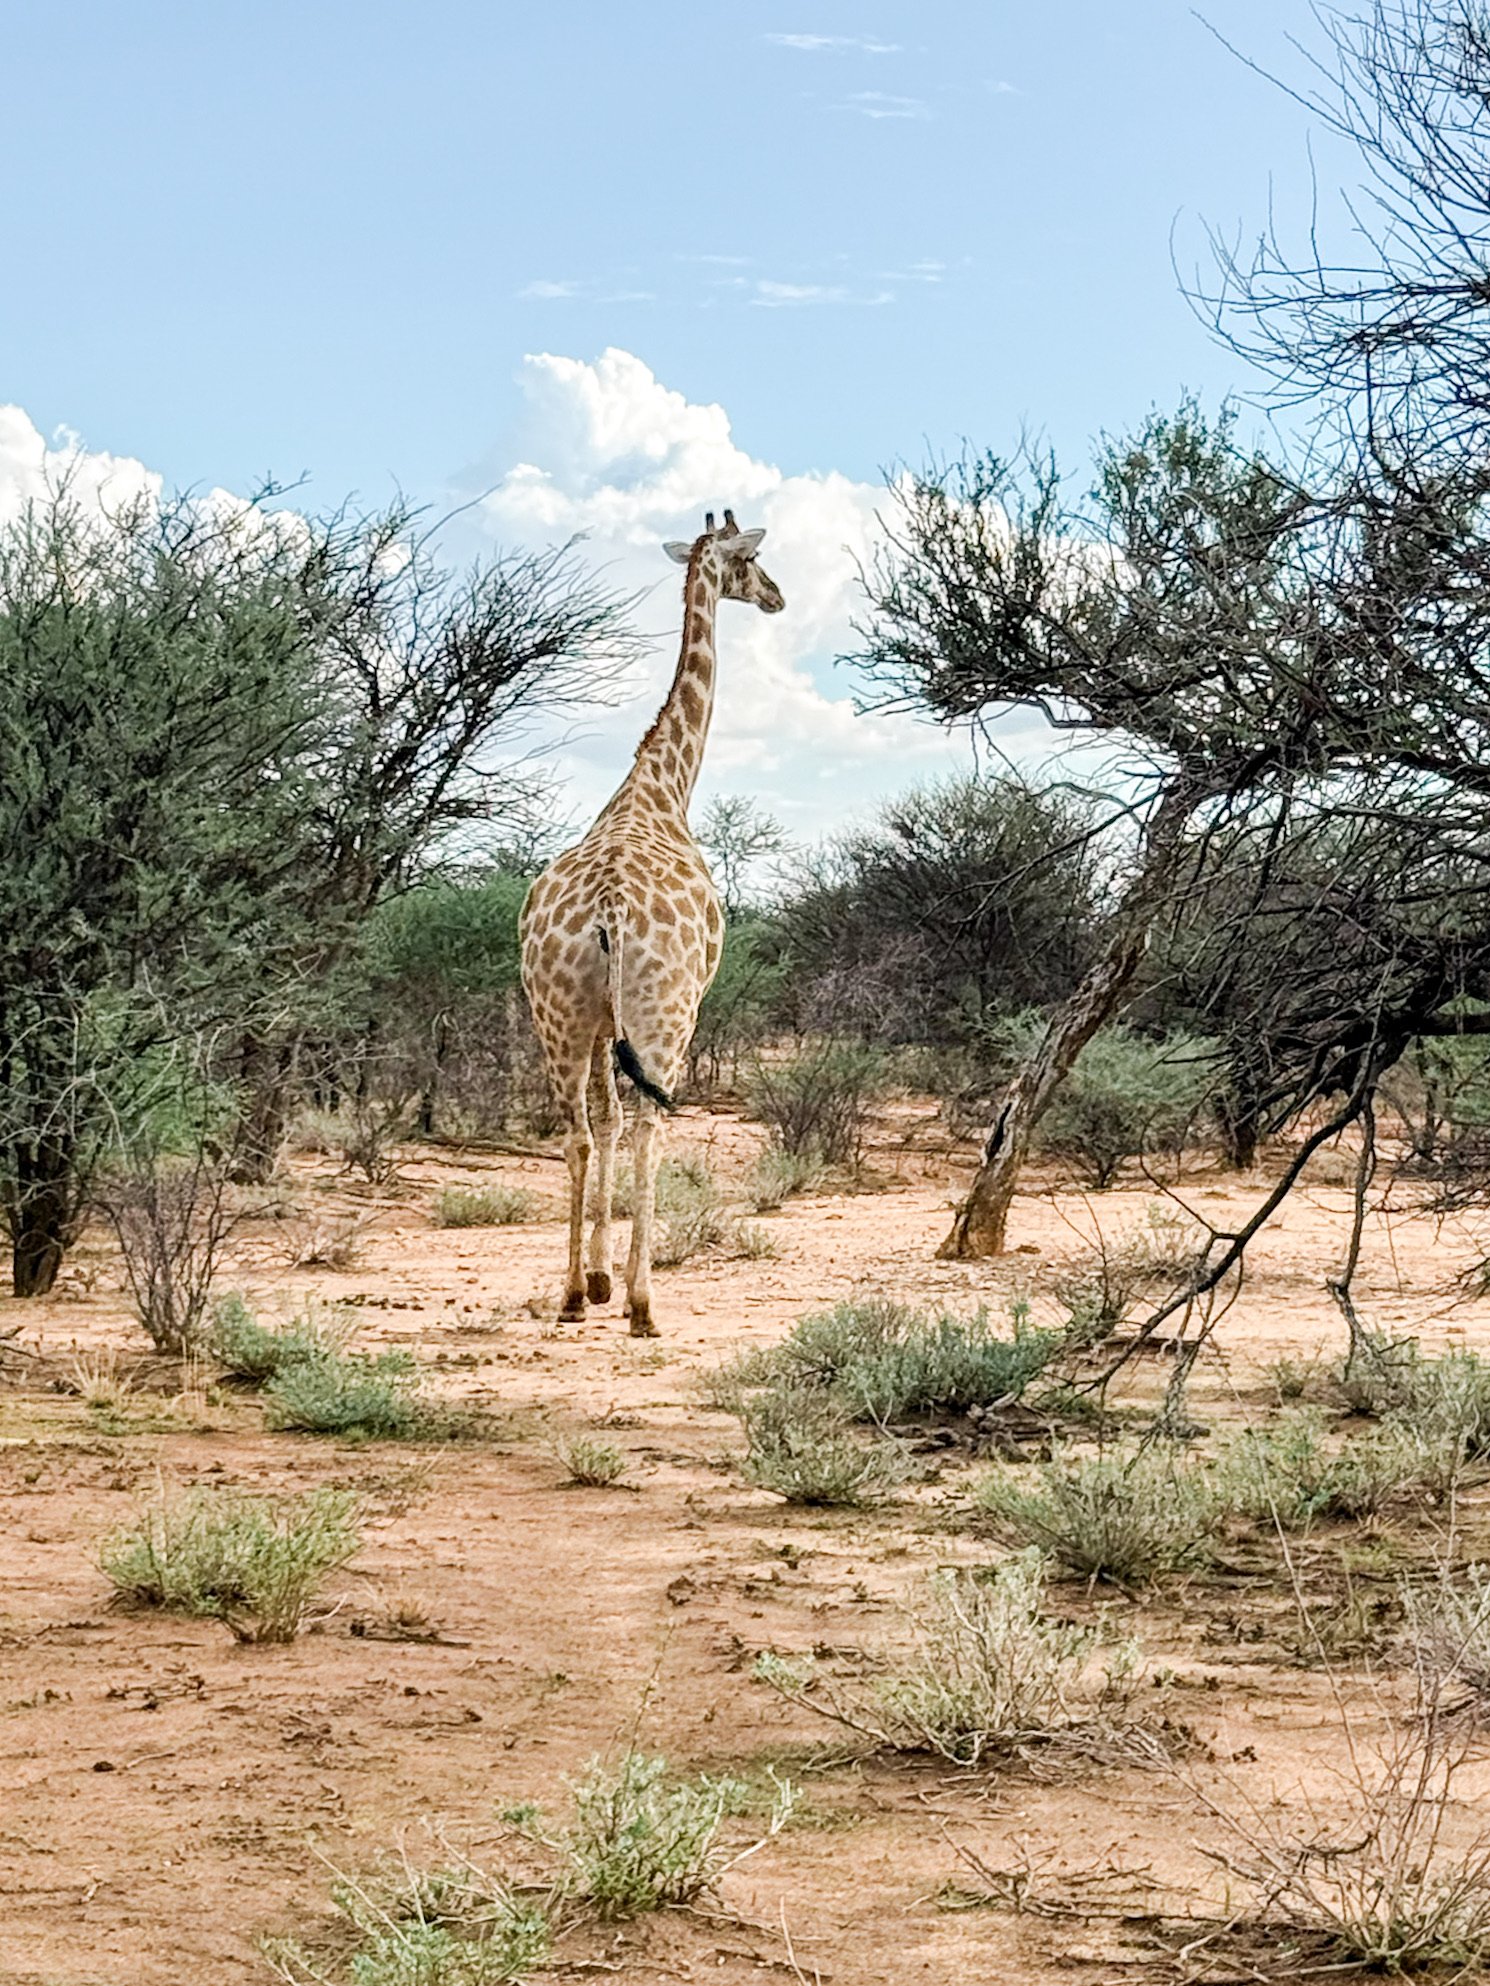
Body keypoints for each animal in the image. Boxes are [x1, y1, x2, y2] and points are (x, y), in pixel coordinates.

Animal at [519, 510, 785, 1336]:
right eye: (752, 561)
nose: (779, 598)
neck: (662, 788)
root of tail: (608, 908)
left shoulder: (604, 1023)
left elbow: (601, 1123)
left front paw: (598, 1277)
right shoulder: (655, 1016)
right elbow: (632, 1126)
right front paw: (623, 1284)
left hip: (558, 1015)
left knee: (576, 1132)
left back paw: (573, 1295)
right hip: (667, 1012)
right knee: (650, 1129)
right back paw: (643, 1303)